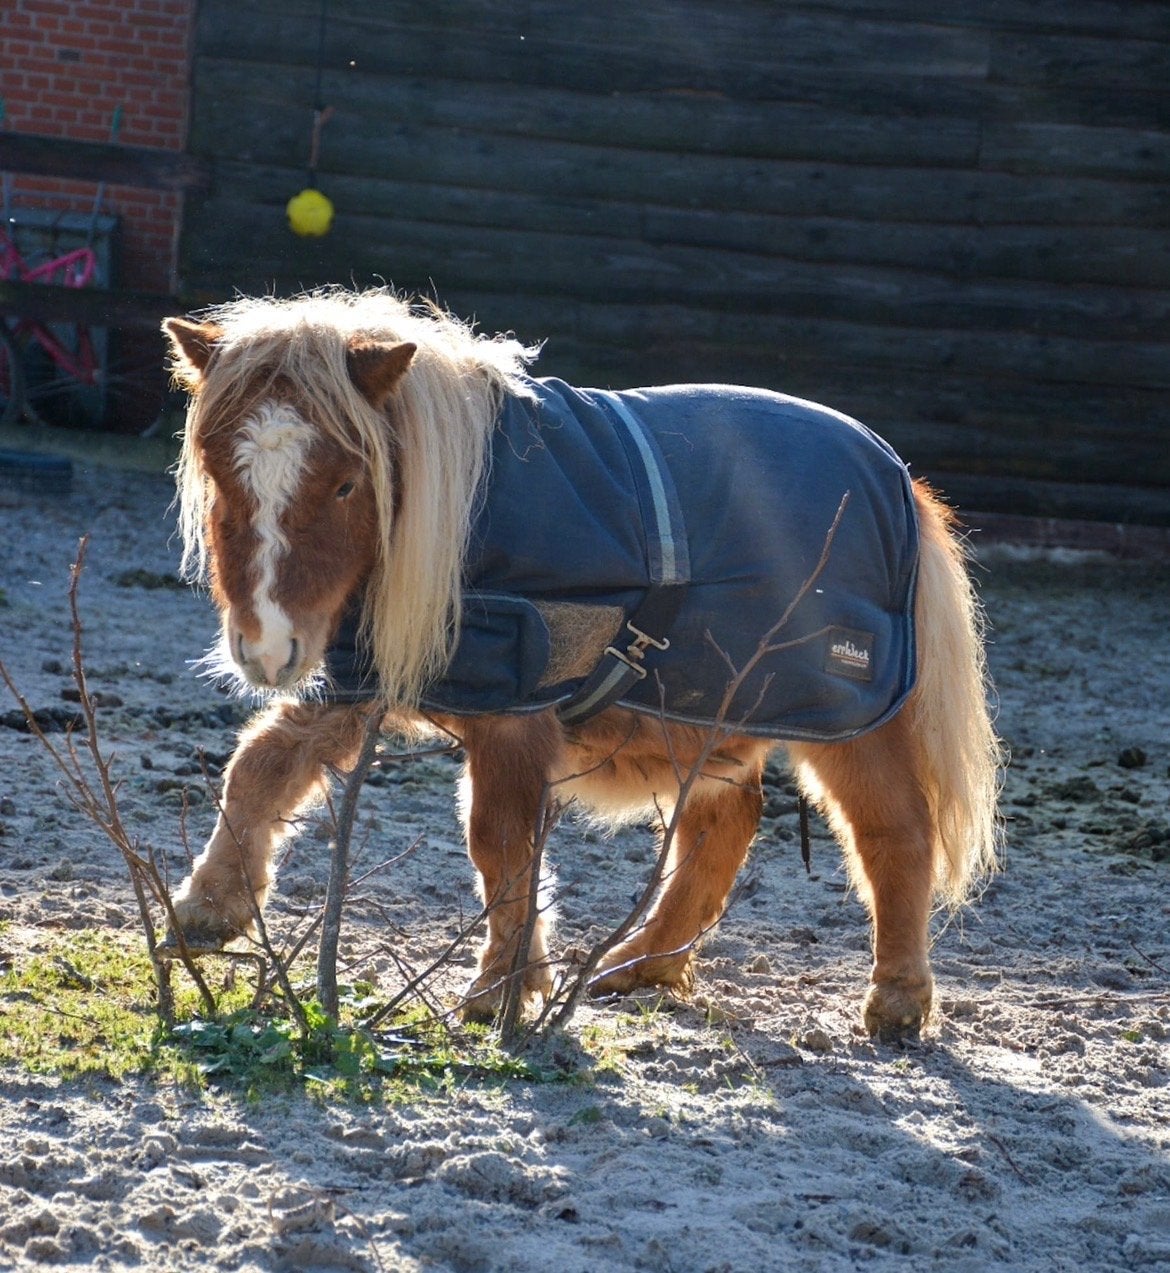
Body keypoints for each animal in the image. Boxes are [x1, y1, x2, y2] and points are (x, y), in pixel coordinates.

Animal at [162, 288, 1000, 1039]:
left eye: (343, 482)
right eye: (218, 474)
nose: (267, 646)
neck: (470, 506)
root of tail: (900, 477)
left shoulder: (513, 711)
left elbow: (500, 840)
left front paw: (500, 991)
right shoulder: (372, 673)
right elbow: (265, 762)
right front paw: (206, 909)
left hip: (848, 719)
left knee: (895, 831)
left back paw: (896, 1003)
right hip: (712, 716)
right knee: (721, 828)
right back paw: (637, 965)